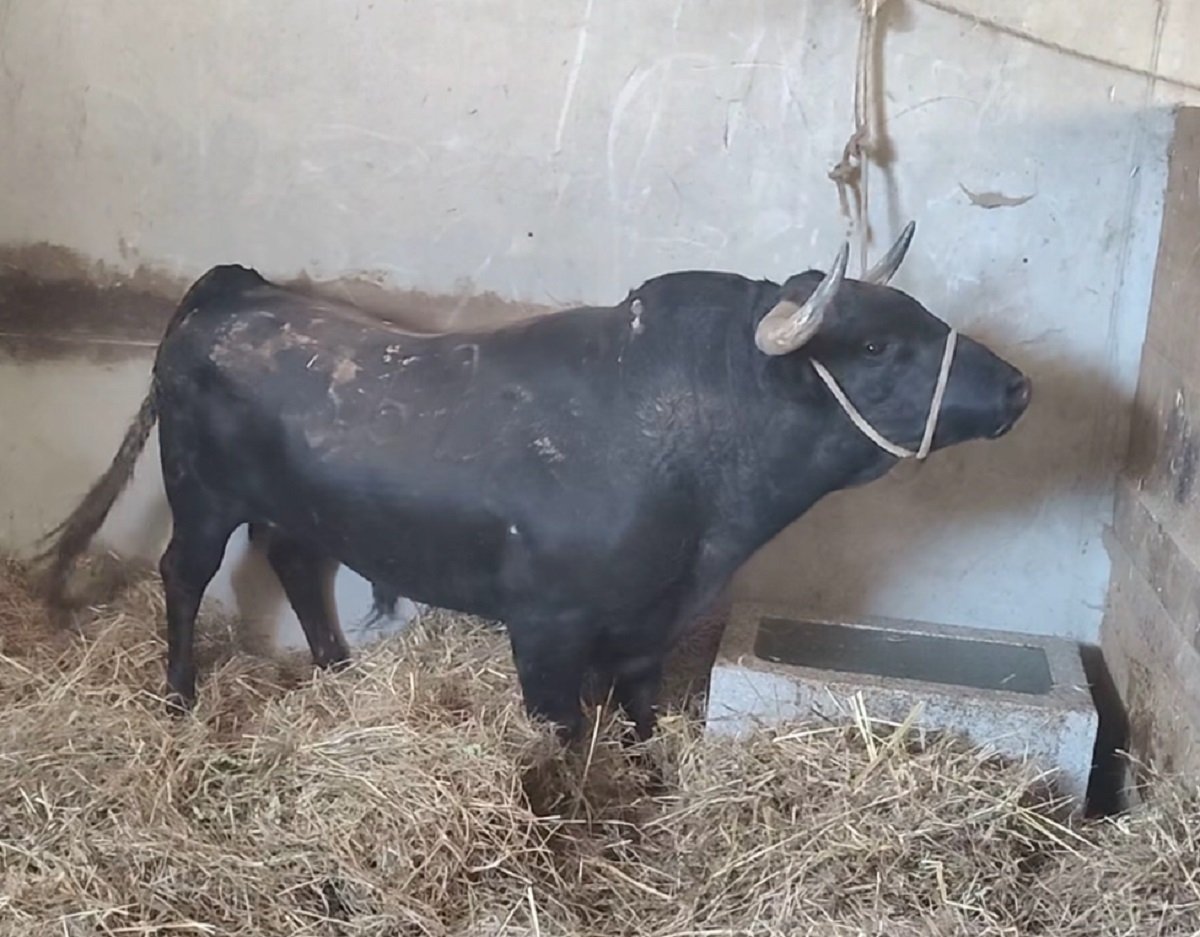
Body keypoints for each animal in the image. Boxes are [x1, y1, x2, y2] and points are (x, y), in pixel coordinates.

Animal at [37, 222, 1031, 745]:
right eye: (875, 344)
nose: (1021, 385)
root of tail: (235, 287)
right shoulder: (547, 626)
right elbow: (559, 728)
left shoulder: (649, 623)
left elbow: (639, 708)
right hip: (201, 495)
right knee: (183, 576)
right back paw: (179, 693)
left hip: (297, 506)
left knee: (293, 559)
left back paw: (333, 667)